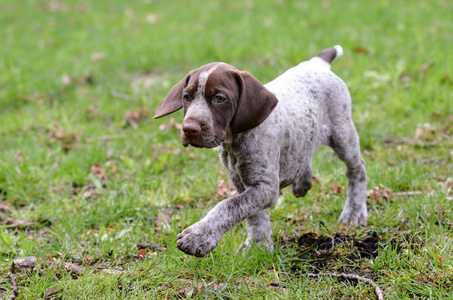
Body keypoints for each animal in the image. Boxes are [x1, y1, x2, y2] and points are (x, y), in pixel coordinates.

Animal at [154, 45, 366, 256]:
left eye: (220, 99)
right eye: (186, 97)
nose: (189, 129)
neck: (234, 141)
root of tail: (317, 63)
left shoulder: (265, 186)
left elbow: (228, 206)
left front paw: (199, 235)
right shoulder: (240, 180)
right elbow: (252, 215)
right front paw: (258, 244)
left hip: (342, 135)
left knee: (357, 168)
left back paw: (354, 212)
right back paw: (302, 182)